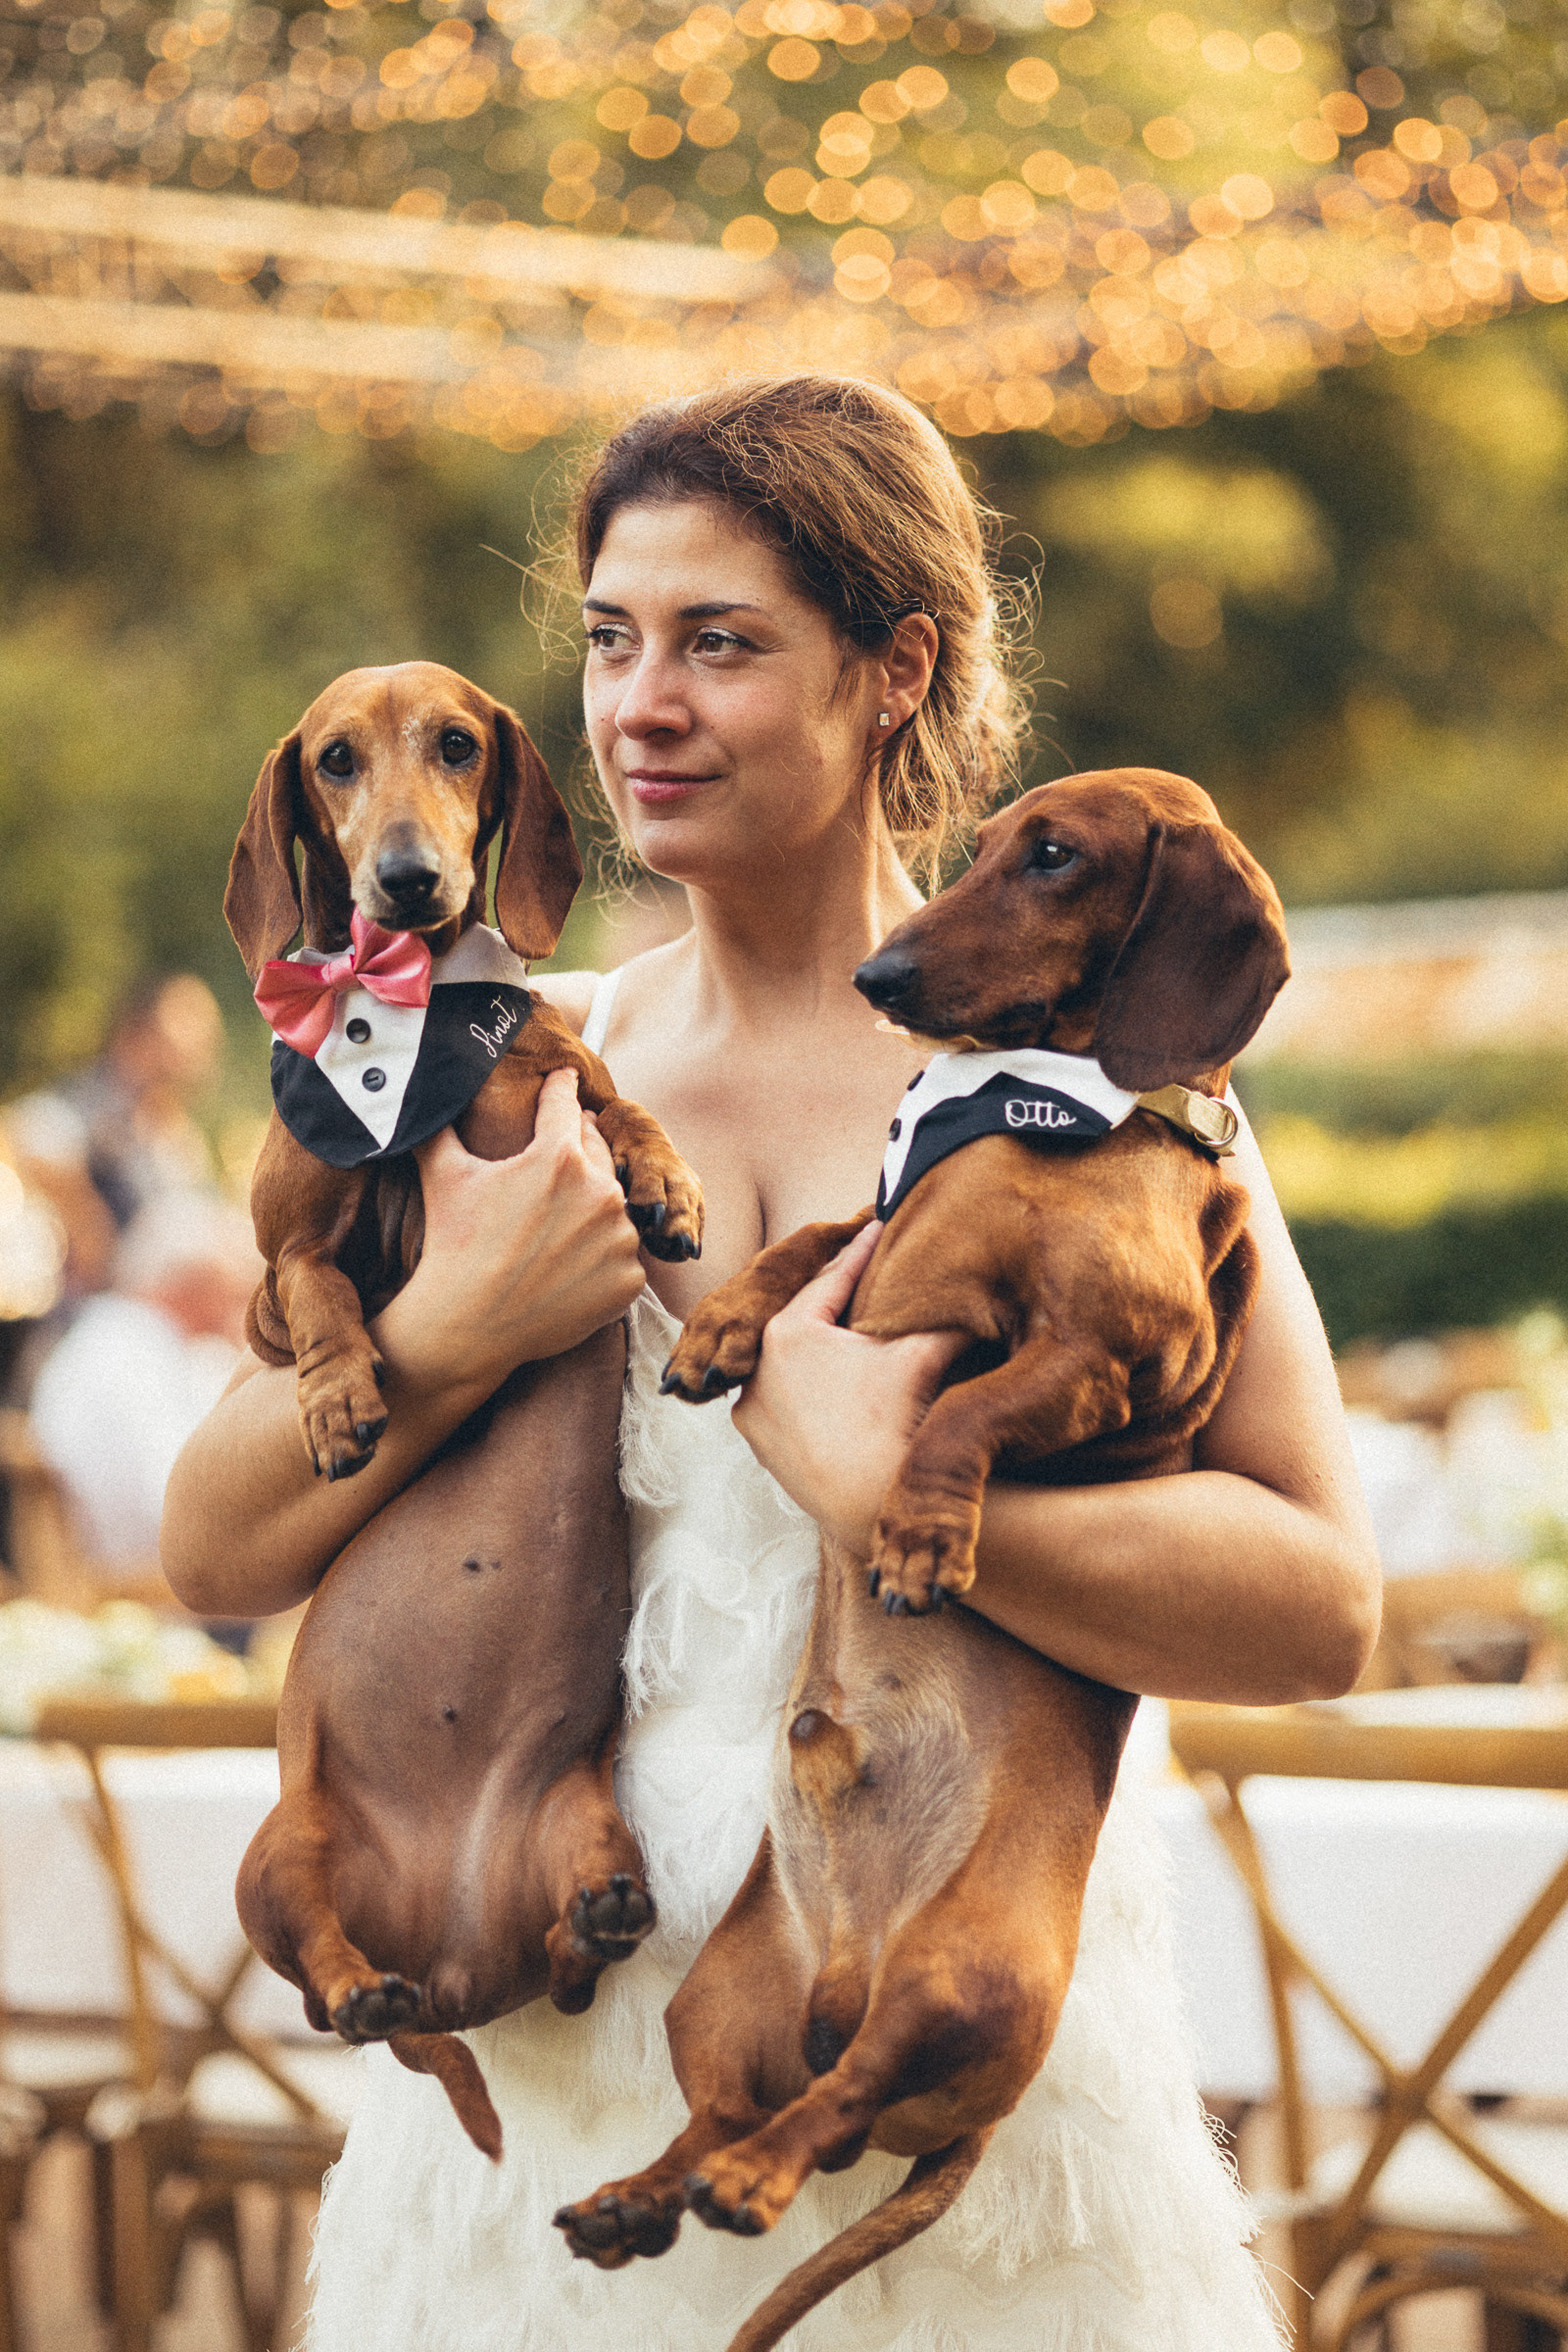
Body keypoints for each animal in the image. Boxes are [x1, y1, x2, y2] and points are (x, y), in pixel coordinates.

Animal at [225, 663, 703, 2154]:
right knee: (322, 1981)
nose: (407, 879)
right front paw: (339, 1402)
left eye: (453, 745)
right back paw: (360, 1988)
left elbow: (618, 1103)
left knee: (576, 1960)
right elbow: (319, 1286)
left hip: (588, 1821)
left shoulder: (561, 1075)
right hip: (281, 1848)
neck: (422, 1022)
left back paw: (580, 1927)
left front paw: (669, 1184)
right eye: (332, 761)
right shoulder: (277, 1272)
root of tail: (444, 1956)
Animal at [553, 769, 1289, 2347]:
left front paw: (920, 1531)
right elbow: (820, 1238)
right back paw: (643, 2197)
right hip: (726, 1997)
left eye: (1055, 857)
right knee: (741, 2110)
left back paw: (750, 2186)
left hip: (961, 1984)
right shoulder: (883, 1239)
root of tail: (847, 1972)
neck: (1047, 1107)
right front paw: (717, 1335)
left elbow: (962, 1406)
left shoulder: (1107, 1360)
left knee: (826, 2117)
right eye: (989, 842)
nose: (876, 979)